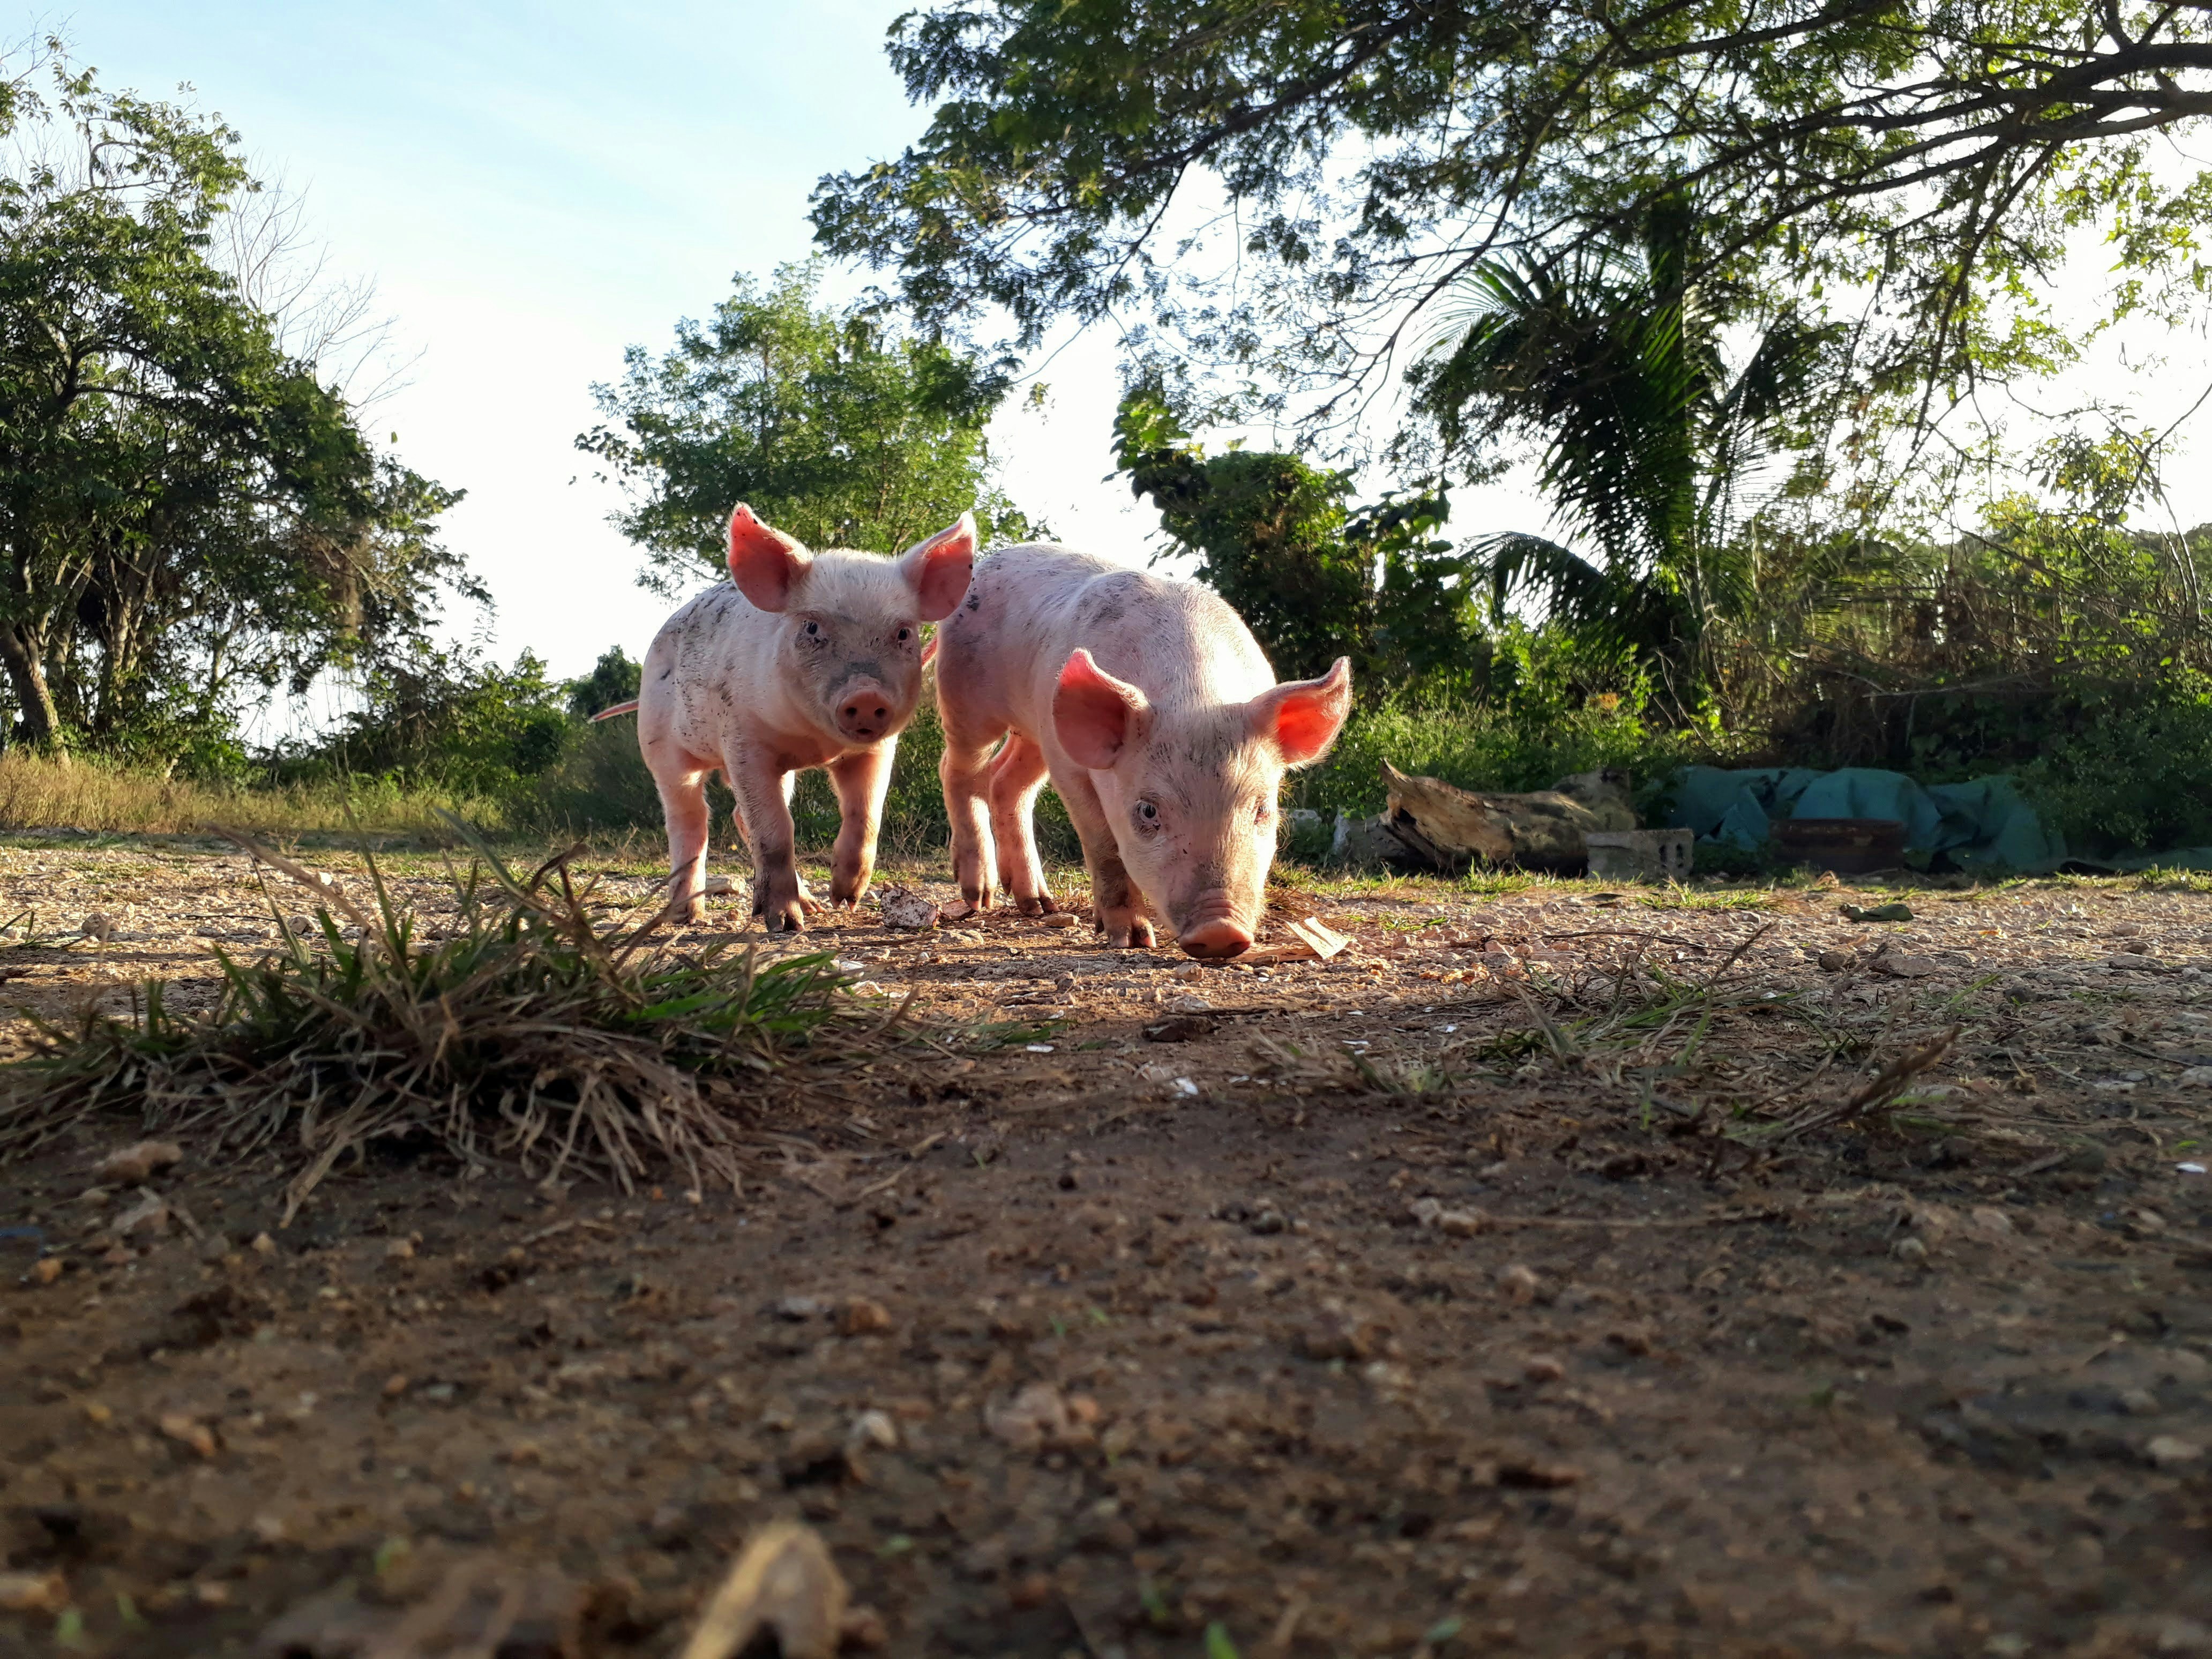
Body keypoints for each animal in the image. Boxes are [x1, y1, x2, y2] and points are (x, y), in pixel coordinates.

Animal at [639, 503, 976, 930]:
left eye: (903, 633)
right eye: (812, 626)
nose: (866, 693)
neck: (817, 744)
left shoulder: (877, 748)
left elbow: (866, 817)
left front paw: (845, 899)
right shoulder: (743, 741)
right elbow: (776, 831)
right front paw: (786, 924)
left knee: (738, 815)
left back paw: (815, 906)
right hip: (661, 746)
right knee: (690, 819)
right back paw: (687, 916)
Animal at [935, 545, 1351, 958]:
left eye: (1263, 808)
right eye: (1148, 811)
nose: (1220, 929)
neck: (1194, 699)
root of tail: (987, 562)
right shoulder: (1070, 769)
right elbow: (1105, 849)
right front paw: (1132, 940)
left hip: (1040, 725)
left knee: (1006, 782)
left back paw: (1039, 906)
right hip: (966, 698)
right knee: (957, 769)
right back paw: (979, 896)